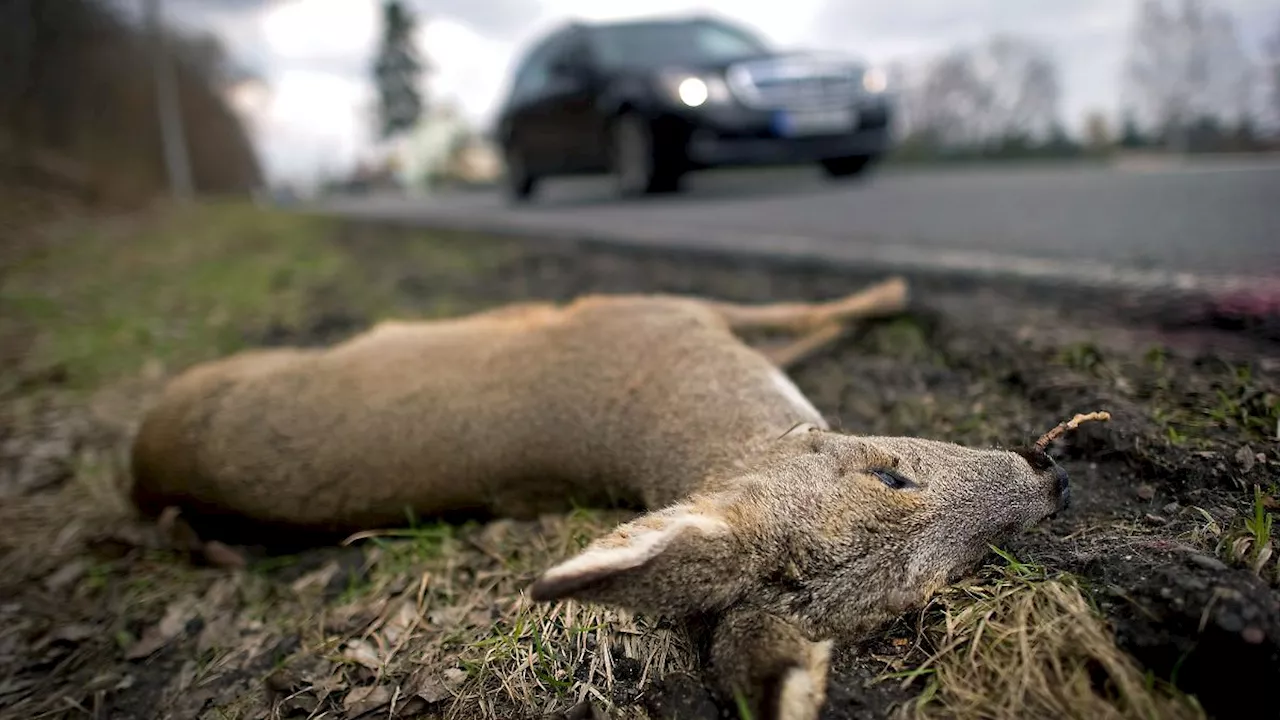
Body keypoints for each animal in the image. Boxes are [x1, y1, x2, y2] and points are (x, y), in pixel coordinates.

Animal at [127, 275, 1080, 717]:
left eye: (935, 583)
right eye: (891, 474)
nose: (1054, 478)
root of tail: (142, 472)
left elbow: (802, 327)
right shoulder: (656, 304)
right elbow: (806, 312)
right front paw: (894, 294)